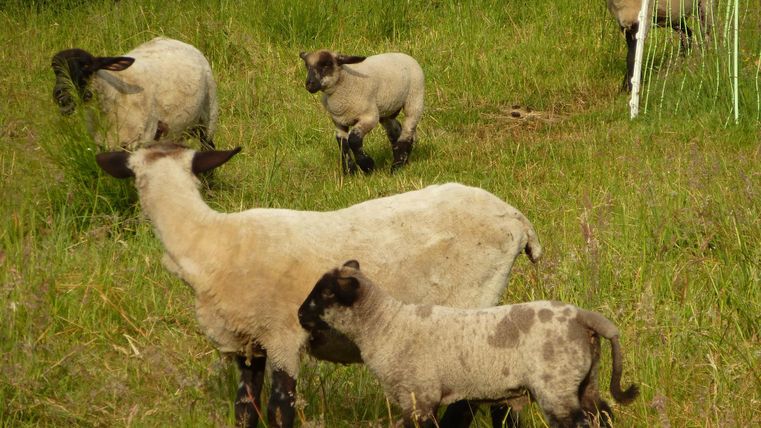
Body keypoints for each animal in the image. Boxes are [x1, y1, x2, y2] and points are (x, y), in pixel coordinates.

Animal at [51, 37, 218, 150]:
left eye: (86, 67)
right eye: (55, 70)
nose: (61, 96)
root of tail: (174, 40)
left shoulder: (141, 140)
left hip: (209, 115)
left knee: (208, 145)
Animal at [94, 143, 542, 428]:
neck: (211, 241)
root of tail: (516, 219)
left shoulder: (283, 336)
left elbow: (280, 411)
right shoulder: (247, 345)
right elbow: (245, 411)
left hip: (471, 301)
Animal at [298, 261, 640, 428]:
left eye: (326, 293)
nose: (300, 314)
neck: (385, 326)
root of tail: (584, 317)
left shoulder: (420, 399)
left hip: (555, 385)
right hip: (586, 380)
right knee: (602, 415)